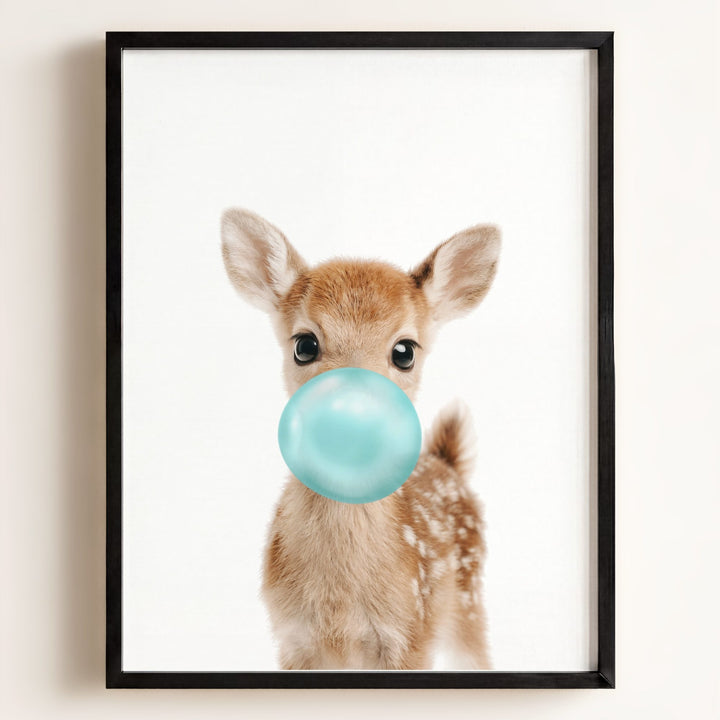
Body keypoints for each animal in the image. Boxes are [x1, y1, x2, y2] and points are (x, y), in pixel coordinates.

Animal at [221, 208, 501, 670]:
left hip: (469, 603)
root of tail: (447, 462)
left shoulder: (411, 635)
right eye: (304, 345)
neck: (339, 608)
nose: (350, 416)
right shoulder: (292, 640)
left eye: (405, 351)